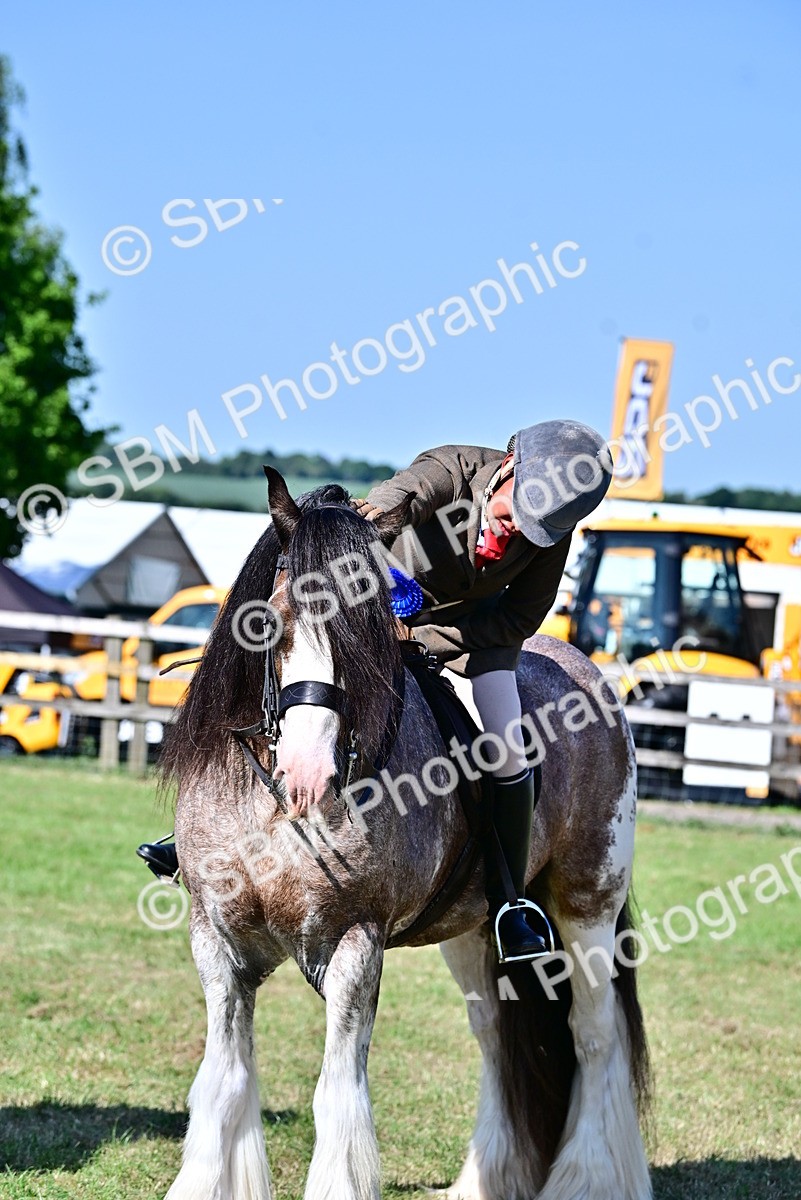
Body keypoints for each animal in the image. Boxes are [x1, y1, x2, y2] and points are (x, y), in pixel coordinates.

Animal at [159, 469, 652, 1200]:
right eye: (269, 621)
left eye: (367, 633)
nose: (309, 774)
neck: (275, 811)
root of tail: (591, 674)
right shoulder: (216, 939)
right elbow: (222, 1083)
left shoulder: (355, 943)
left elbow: (336, 1092)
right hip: (475, 931)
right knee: (495, 1038)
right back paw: (482, 1181)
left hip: (587, 904)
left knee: (594, 1037)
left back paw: (586, 1180)